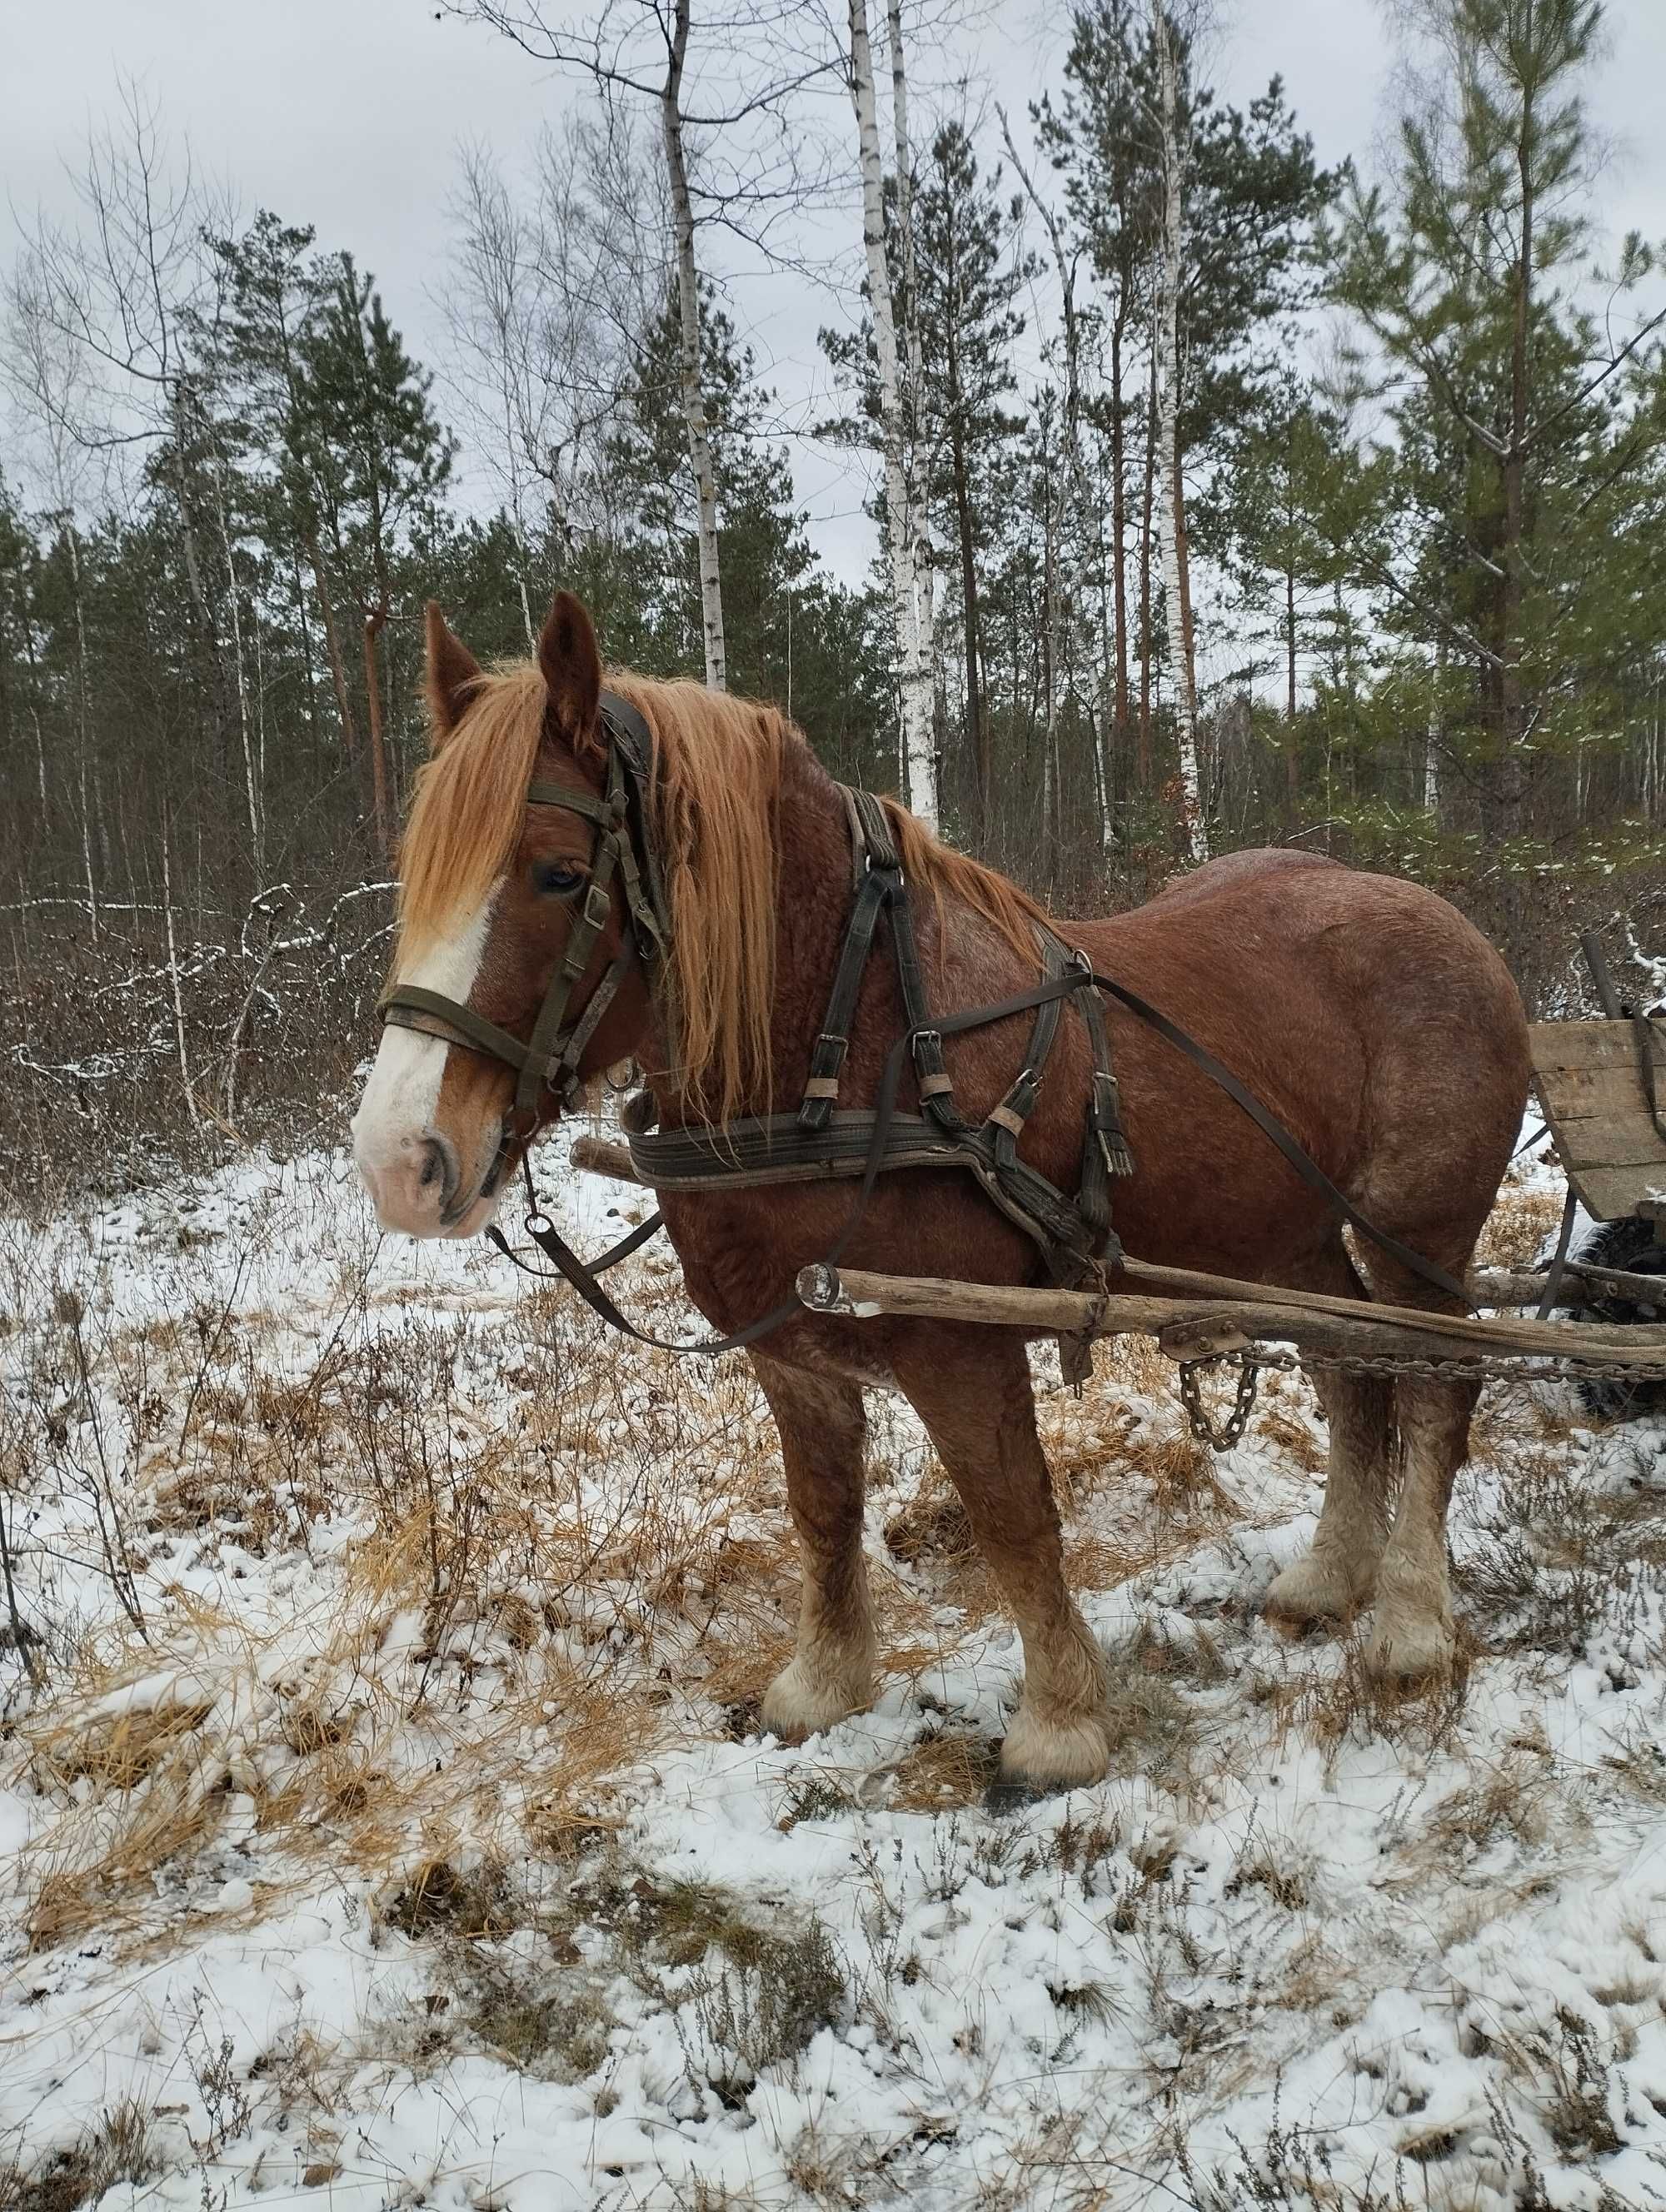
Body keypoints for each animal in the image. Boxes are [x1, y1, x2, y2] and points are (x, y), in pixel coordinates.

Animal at [353, 592, 1530, 1796]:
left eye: (555, 873)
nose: (402, 1160)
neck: (854, 1050)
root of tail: (1450, 920)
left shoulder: (959, 1347)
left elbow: (1012, 1517)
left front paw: (1059, 1723)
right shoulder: (792, 1355)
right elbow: (822, 1513)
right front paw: (823, 1683)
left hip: (1420, 1231)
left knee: (1436, 1385)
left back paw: (1408, 1622)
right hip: (1285, 1236)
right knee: (1353, 1370)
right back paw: (1331, 1577)